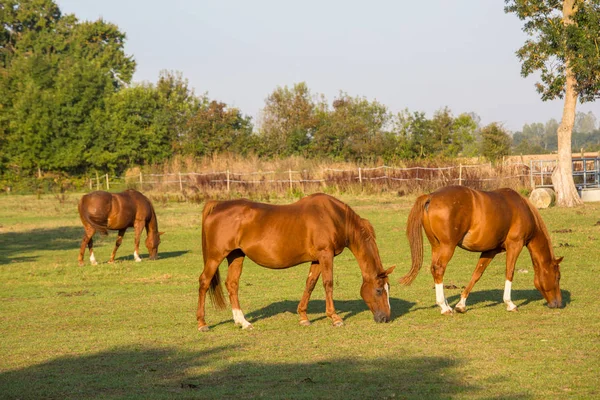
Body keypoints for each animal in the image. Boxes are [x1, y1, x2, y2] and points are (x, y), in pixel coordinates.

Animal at [195, 192, 396, 330]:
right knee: (204, 282)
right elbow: (328, 284)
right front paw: (335, 318)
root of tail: (218, 206)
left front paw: (303, 317)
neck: (334, 217)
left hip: (236, 255)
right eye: (379, 290)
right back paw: (202, 323)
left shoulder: (317, 259)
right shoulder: (325, 255)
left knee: (232, 284)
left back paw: (243, 322)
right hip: (215, 257)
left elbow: (310, 284)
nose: (386, 318)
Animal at [398, 186, 564, 314]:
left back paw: (446, 304)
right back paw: (444, 307)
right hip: (447, 247)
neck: (522, 208)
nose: (558, 303)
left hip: (436, 246)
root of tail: (431, 196)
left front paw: (461, 304)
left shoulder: (490, 251)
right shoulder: (515, 245)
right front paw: (509, 303)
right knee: (439, 269)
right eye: (557, 277)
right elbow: (509, 272)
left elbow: (477, 274)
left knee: (434, 269)